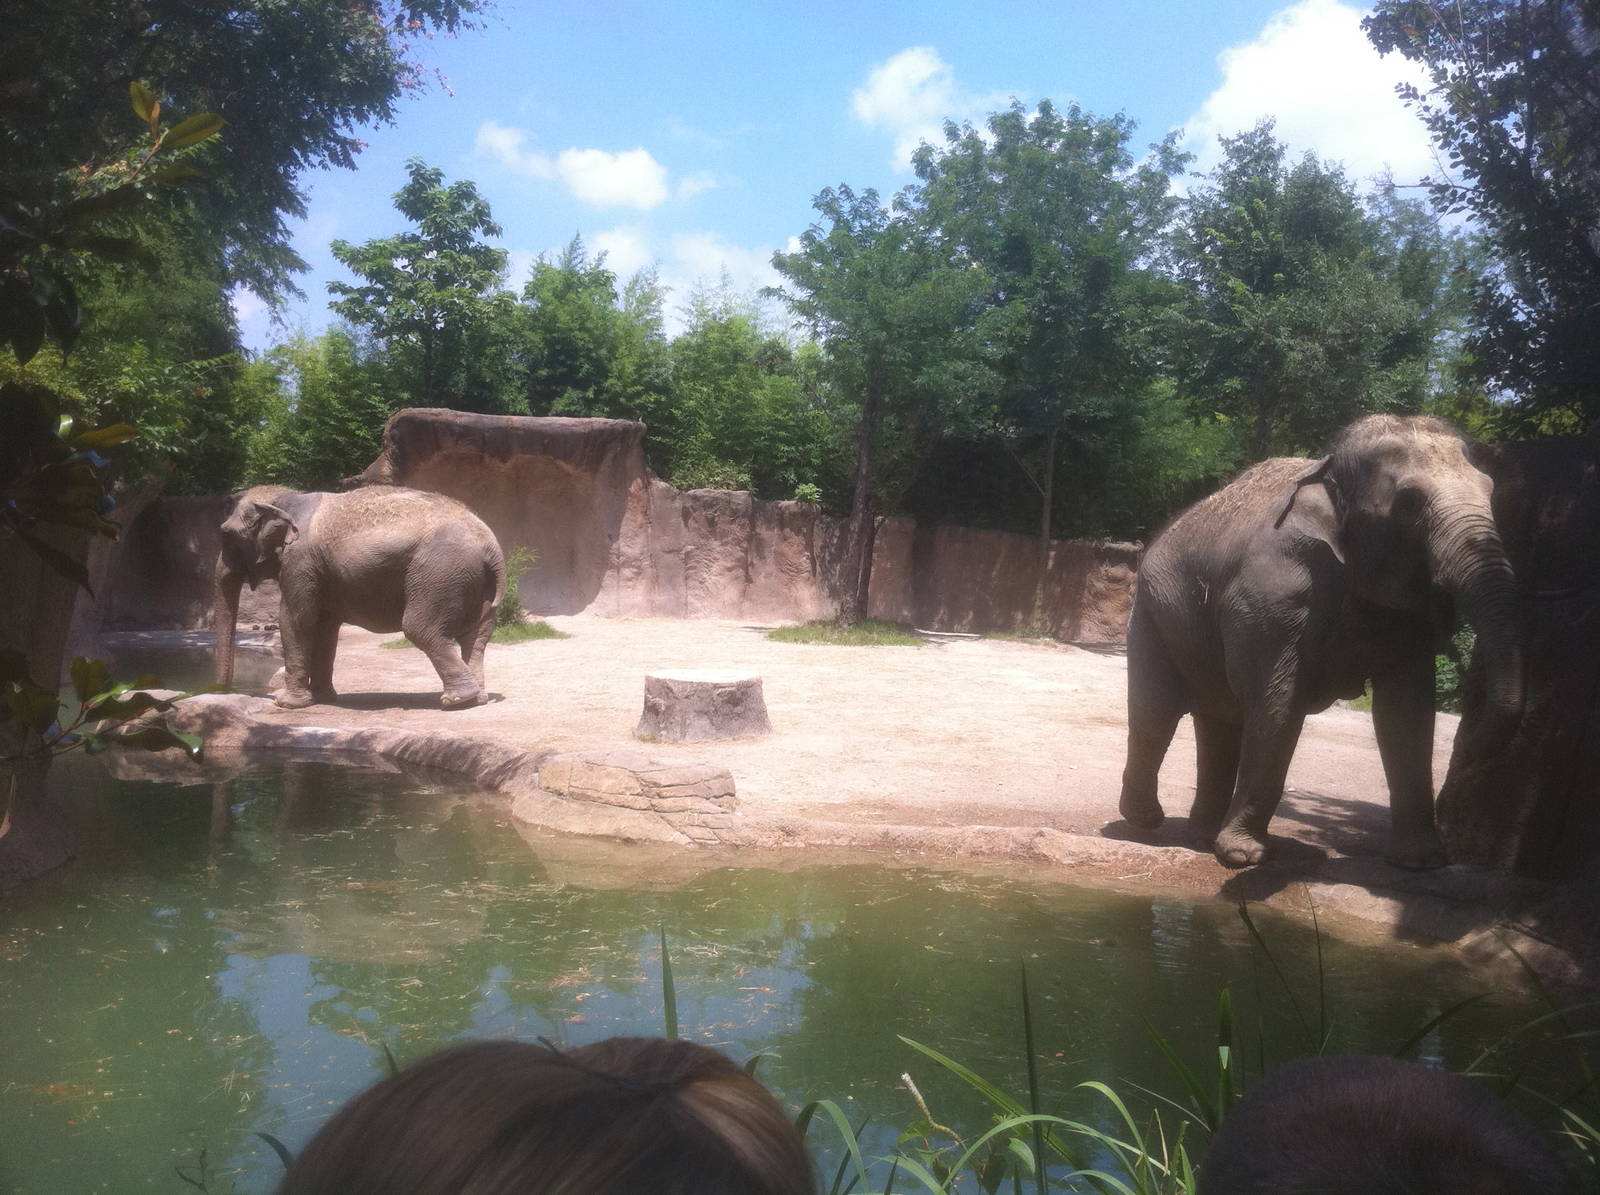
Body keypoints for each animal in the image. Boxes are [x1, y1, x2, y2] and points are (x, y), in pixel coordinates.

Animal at [213, 485, 506, 710]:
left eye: (226, 534)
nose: (222, 691)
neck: (286, 496)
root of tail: (491, 548)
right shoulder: (320, 571)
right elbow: (325, 627)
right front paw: (323, 699)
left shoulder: (300, 561)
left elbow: (296, 620)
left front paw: (287, 704)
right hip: (473, 582)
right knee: (476, 635)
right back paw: (478, 698)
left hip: (439, 572)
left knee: (420, 629)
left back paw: (457, 701)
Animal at [1119, 415, 1524, 869]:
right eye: (1409, 503)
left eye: (1490, 491)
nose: (1467, 745)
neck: (1327, 469)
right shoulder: (1271, 593)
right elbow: (1278, 703)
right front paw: (1243, 857)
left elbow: (1406, 712)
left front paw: (1422, 862)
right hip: (1151, 612)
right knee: (1157, 712)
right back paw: (1146, 822)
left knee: (1219, 720)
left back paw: (1202, 836)